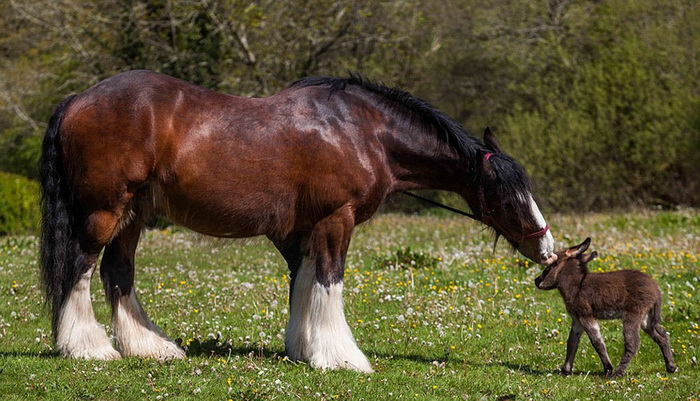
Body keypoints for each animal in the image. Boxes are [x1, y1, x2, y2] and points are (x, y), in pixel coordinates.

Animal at [40, 70, 556, 372]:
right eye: (507, 196)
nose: (548, 250)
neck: (362, 131)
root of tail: (77, 99)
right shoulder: (335, 220)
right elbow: (329, 282)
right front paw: (342, 356)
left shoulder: (302, 231)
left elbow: (305, 285)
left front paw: (306, 349)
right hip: (104, 211)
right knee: (80, 269)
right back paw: (89, 347)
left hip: (133, 215)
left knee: (118, 272)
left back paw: (150, 347)